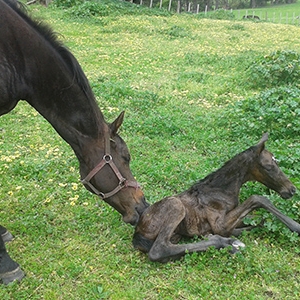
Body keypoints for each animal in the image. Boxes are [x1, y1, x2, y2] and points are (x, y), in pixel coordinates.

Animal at [134, 134, 300, 262]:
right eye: (269, 166)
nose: (291, 190)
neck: (222, 190)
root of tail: (137, 233)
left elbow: (260, 219)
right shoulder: (219, 225)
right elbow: (258, 199)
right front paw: (296, 226)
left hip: (176, 235)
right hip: (175, 205)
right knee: (159, 250)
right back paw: (227, 243)